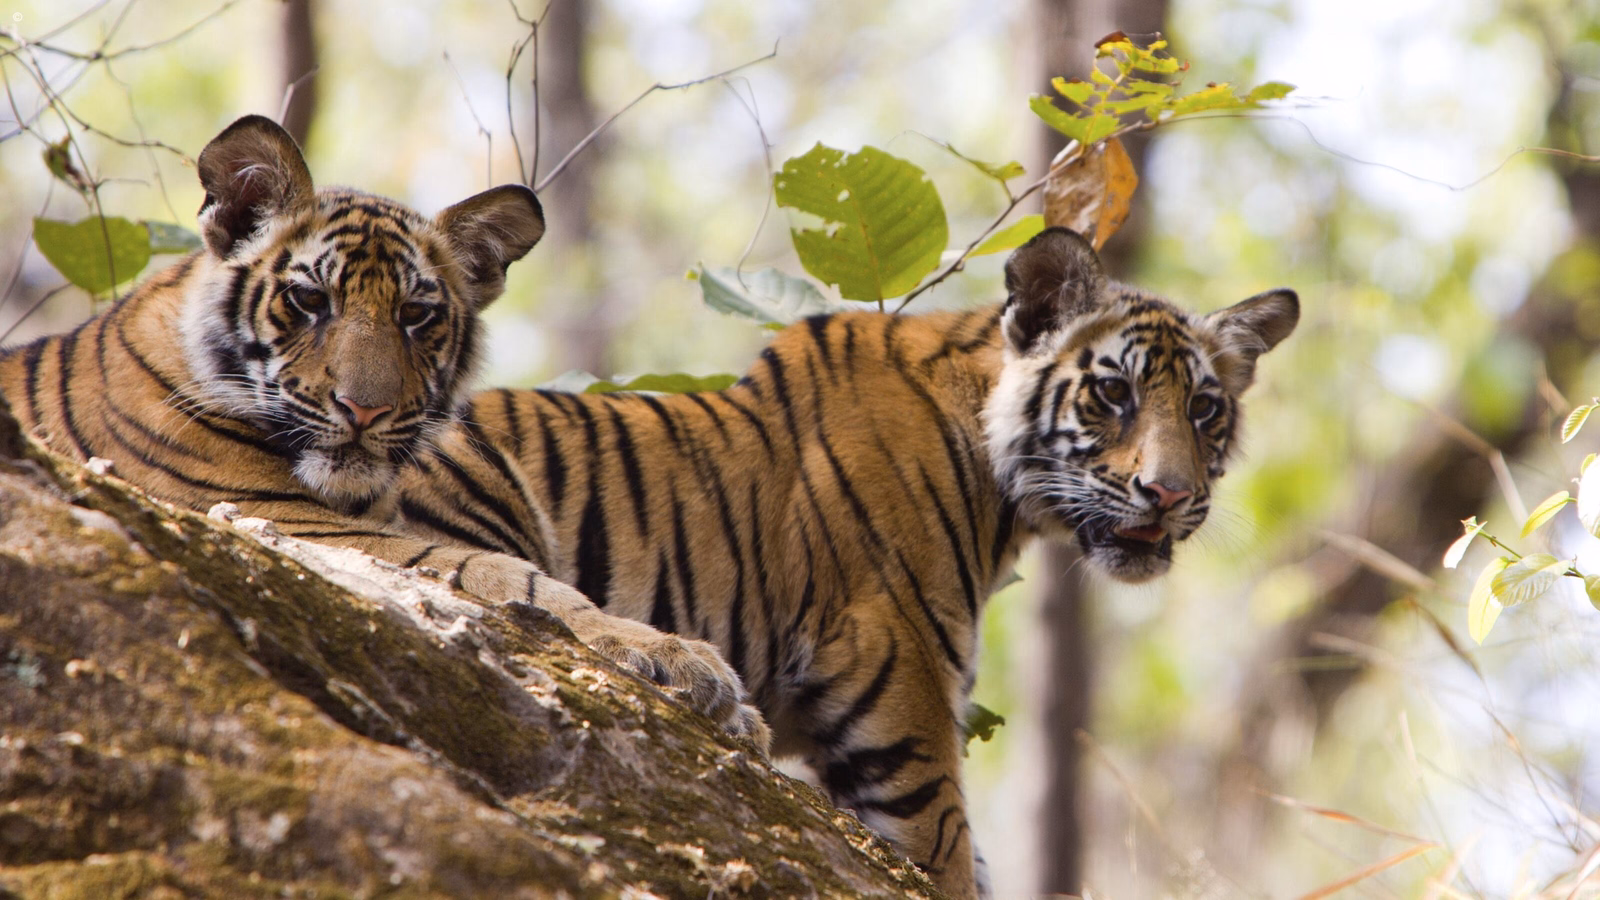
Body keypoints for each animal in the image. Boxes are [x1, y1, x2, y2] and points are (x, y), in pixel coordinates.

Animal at [0, 114, 766, 743]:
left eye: (416, 315)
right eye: (310, 299)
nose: (362, 410)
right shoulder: (285, 521)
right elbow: (510, 577)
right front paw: (687, 664)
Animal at [384, 226, 1300, 899]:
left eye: (1206, 409)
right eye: (1114, 393)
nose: (1170, 495)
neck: (1003, 491)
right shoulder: (900, 682)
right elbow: (945, 852)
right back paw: (700, 685)